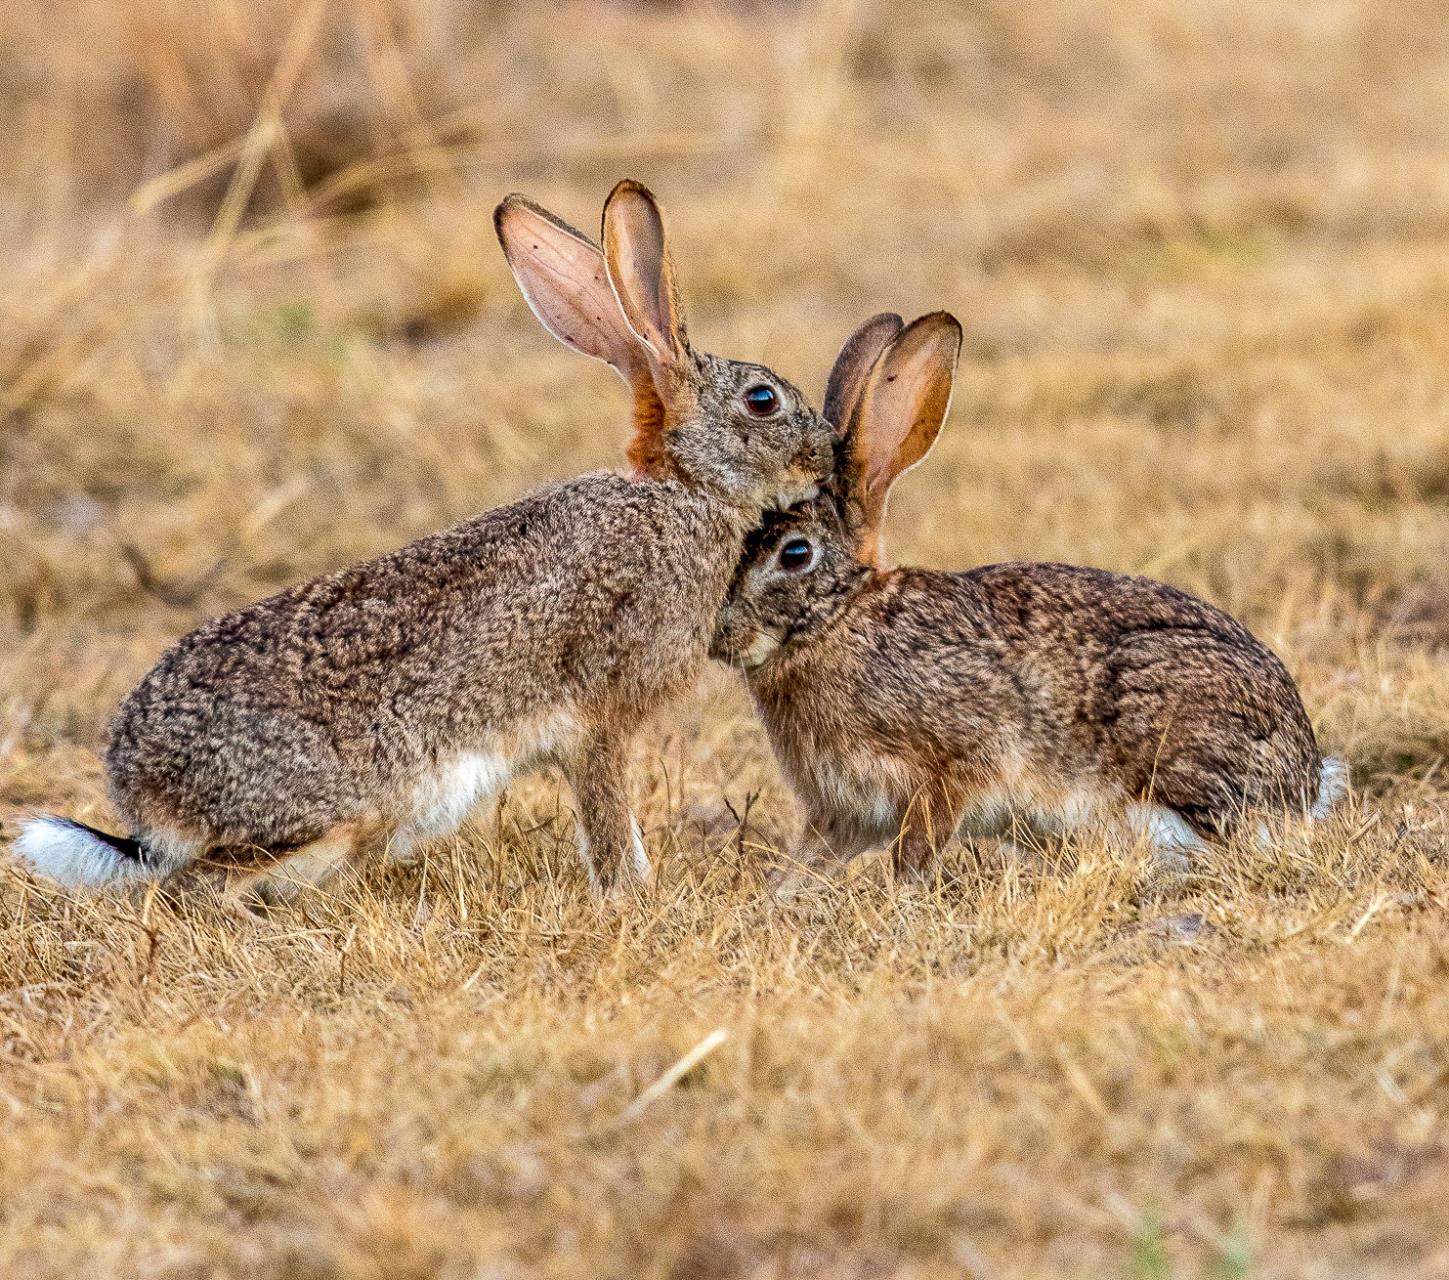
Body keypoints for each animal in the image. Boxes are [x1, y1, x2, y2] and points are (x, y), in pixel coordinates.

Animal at [14, 180, 840, 904]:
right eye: (762, 400)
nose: (827, 456)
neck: (686, 492)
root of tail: (146, 799)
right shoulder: (601, 716)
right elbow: (608, 816)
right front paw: (631, 897)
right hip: (335, 812)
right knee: (198, 887)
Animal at [712, 310, 1344, 892]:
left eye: (795, 554)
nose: (718, 637)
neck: (841, 617)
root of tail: (1305, 779)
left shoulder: (954, 762)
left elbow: (917, 846)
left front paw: (902, 895)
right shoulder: (841, 811)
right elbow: (807, 860)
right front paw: (775, 900)